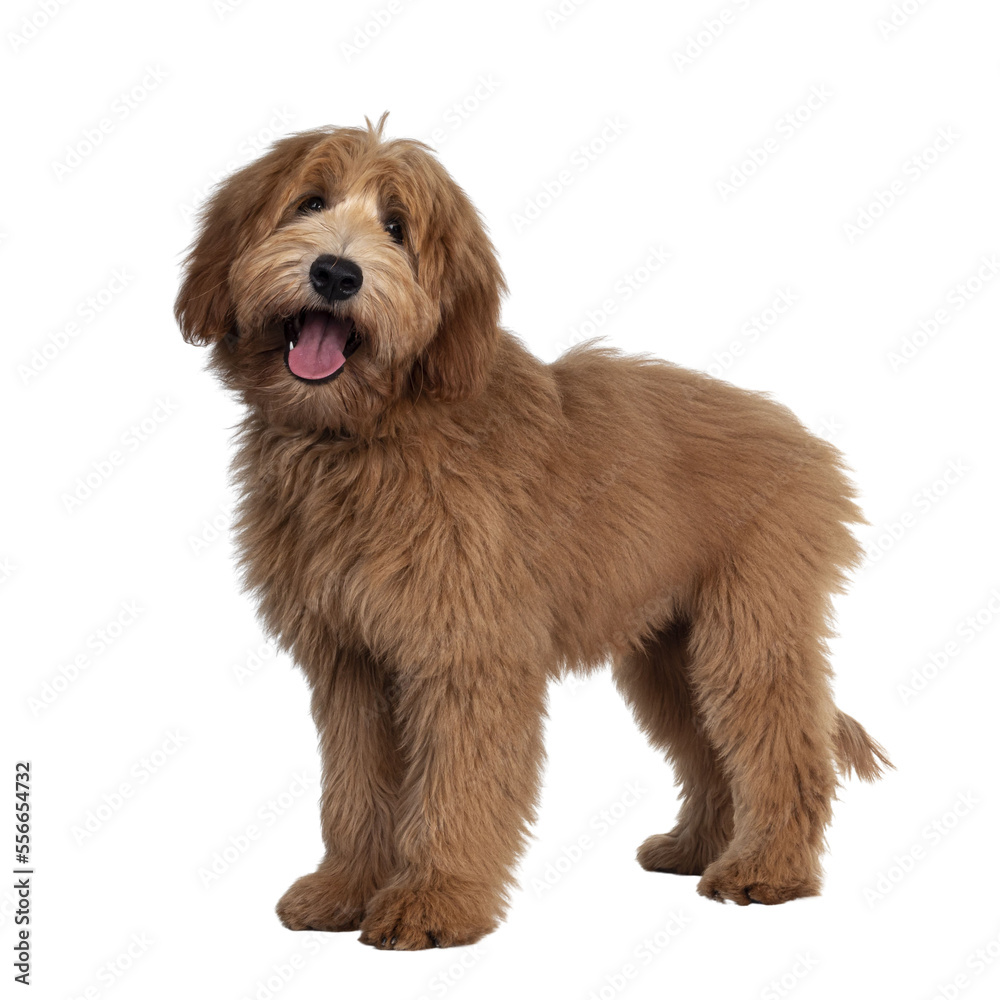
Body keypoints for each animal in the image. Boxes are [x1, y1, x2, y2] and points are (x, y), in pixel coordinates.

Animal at [174, 113, 892, 948]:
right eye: (309, 201)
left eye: (397, 227)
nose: (336, 275)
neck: (374, 435)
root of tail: (807, 442)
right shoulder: (351, 659)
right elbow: (355, 788)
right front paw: (345, 888)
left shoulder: (468, 653)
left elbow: (459, 783)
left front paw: (435, 903)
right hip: (669, 653)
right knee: (710, 751)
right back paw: (694, 847)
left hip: (747, 632)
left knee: (786, 750)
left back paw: (766, 870)